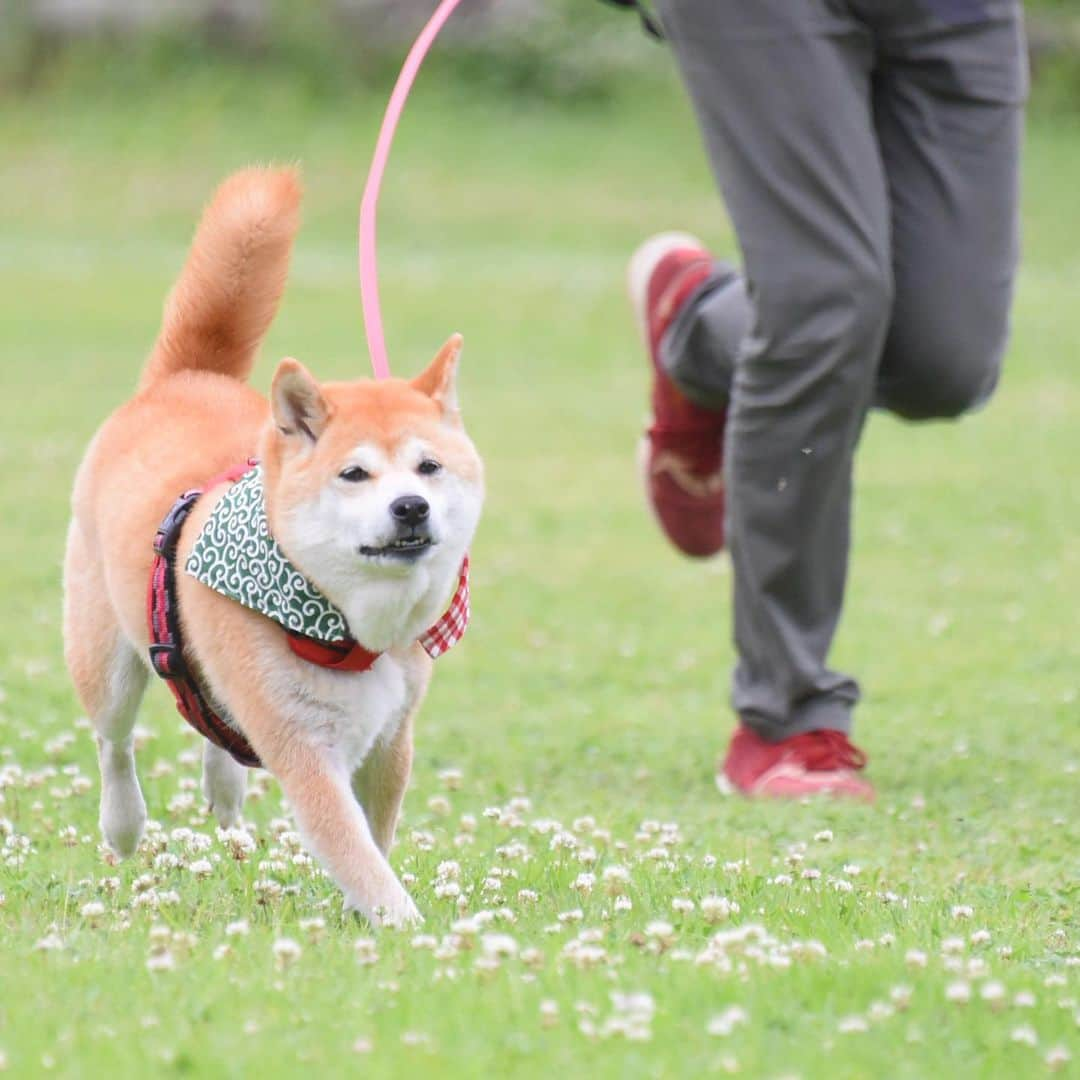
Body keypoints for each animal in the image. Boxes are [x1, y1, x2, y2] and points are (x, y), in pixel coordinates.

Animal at [63, 168, 486, 928]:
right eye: (355, 474)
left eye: (429, 467)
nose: (411, 507)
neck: (347, 630)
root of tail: (187, 377)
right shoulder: (304, 751)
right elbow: (361, 857)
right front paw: (405, 927)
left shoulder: (390, 741)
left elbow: (376, 841)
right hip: (104, 656)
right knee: (114, 744)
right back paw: (124, 825)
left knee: (206, 718)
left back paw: (224, 789)